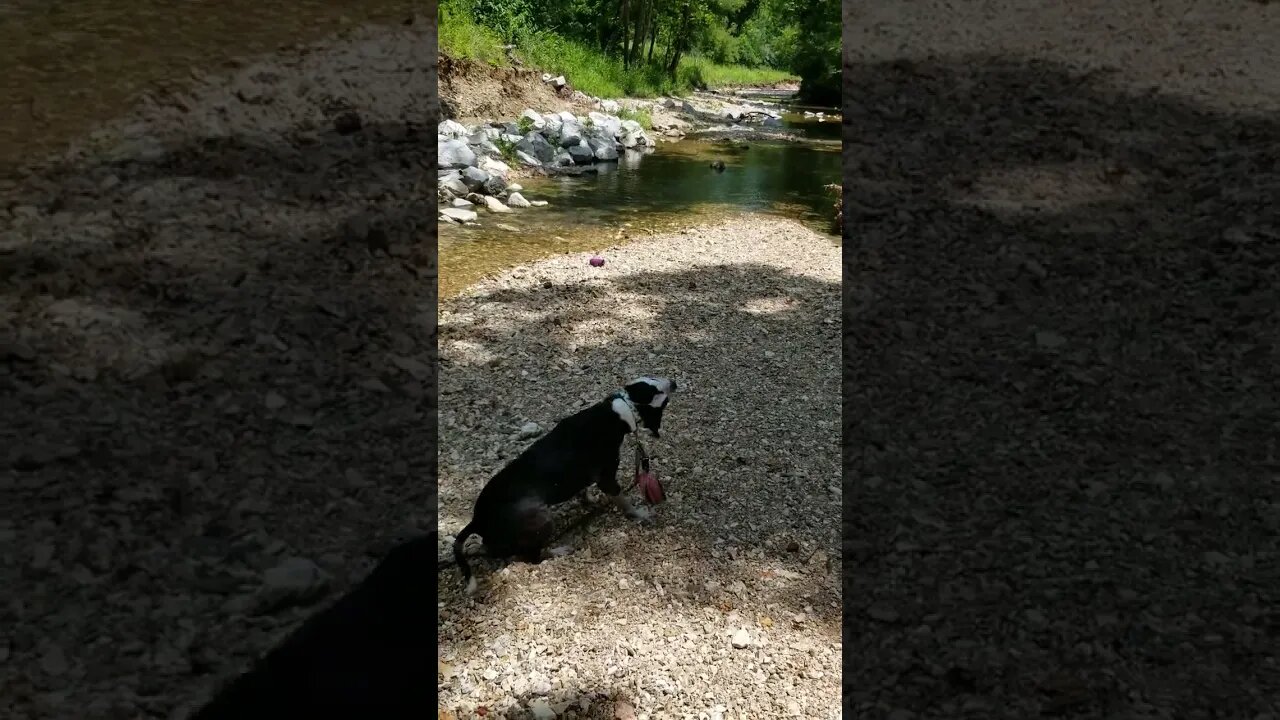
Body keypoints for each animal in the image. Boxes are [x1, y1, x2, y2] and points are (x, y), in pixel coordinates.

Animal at [458, 376, 680, 589]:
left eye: (652, 378)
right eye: (657, 392)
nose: (674, 383)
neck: (618, 410)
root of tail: (477, 521)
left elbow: (584, 491)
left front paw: (589, 501)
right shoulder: (607, 479)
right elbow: (625, 502)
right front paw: (639, 514)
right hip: (542, 518)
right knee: (532, 557)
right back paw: (559, 551)